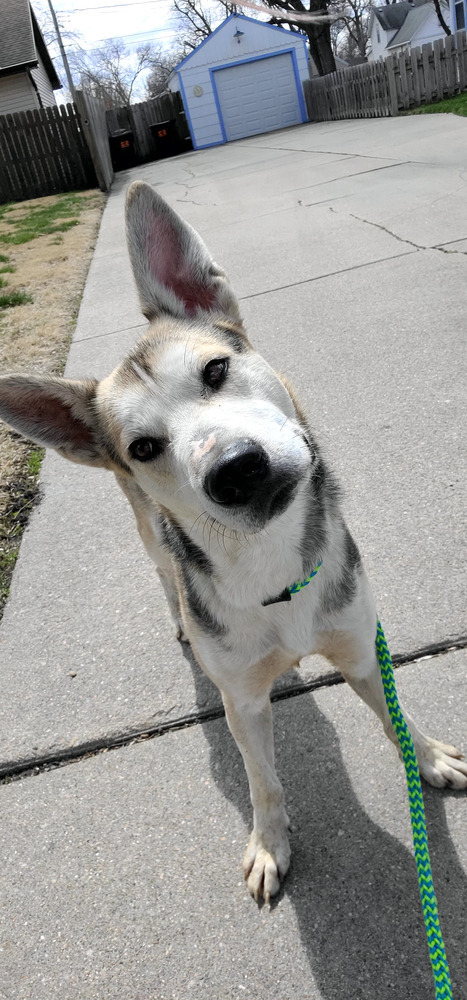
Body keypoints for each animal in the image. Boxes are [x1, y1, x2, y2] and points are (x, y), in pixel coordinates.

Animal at [0, 182, 467, 908]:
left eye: (216, 369)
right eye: (143, 447)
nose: (235, 468)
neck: (268, 567)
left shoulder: (361, 647)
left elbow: (394, 716)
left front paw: (428, 757)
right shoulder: (241, 702)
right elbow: (263, 781)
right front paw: (270, 844)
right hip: (149, 537)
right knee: (164, 573)